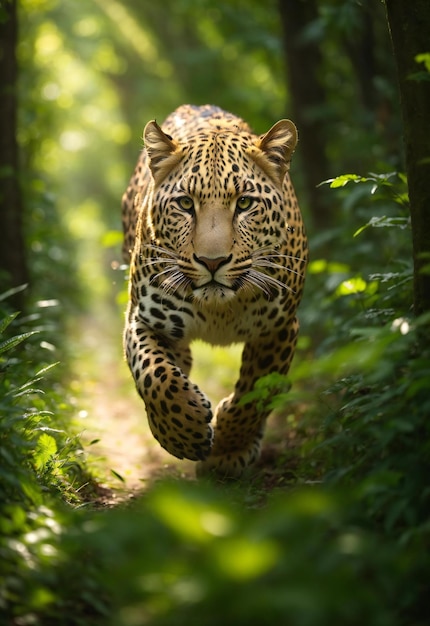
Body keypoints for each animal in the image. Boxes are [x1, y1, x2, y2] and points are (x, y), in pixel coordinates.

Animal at [122, 105, 308, 476]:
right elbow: (154, 375)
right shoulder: (144, 318)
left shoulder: (279, 327)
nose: (212, 261)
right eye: (185, 204)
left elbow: (257, 390)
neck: (218, 310)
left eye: (245, 203)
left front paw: (228, 449)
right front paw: (183, 430)